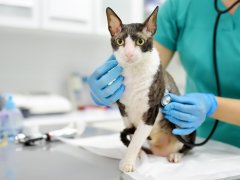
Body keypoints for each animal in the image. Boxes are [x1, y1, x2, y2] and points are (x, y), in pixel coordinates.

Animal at [106, 6, 196, 173]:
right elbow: (132, 137)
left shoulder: (151, 111)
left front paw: (128, 163)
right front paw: (132, 157)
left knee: (186, 146)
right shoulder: (123, 110)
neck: (134, 74)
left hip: (184, 126)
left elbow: (136, 140)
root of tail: (160, 151)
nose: (129, 54)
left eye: (140, 41)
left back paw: (176, 155)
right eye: (120, 41)